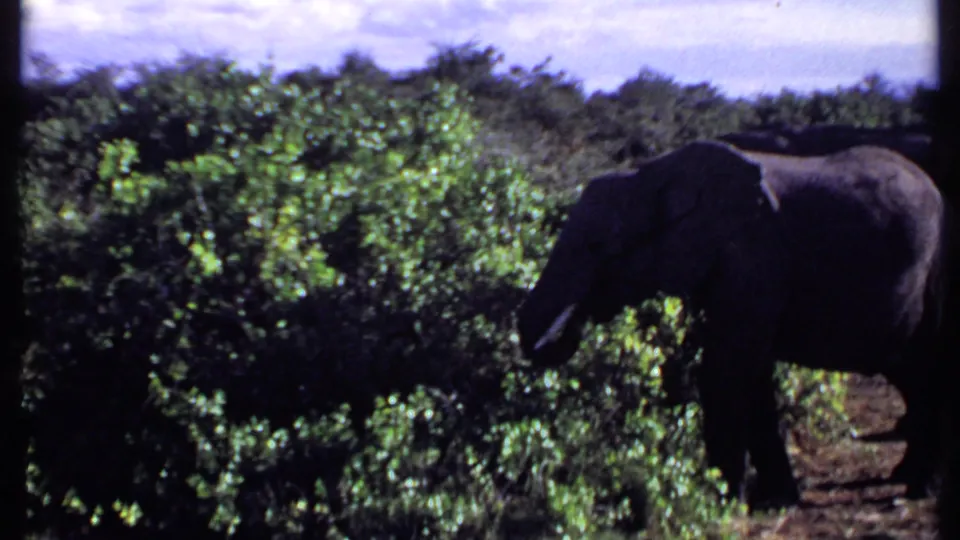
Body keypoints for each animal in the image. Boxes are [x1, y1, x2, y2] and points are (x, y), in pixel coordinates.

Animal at [516, 140, 950, 510]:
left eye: (597, 247)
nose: (572, 326)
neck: (649, 176)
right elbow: (751, 377)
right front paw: (775, 501)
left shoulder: (754, 257)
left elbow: (726, 370)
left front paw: (720, 502)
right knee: (914, 375)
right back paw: (905, 477)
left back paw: (918, 490)